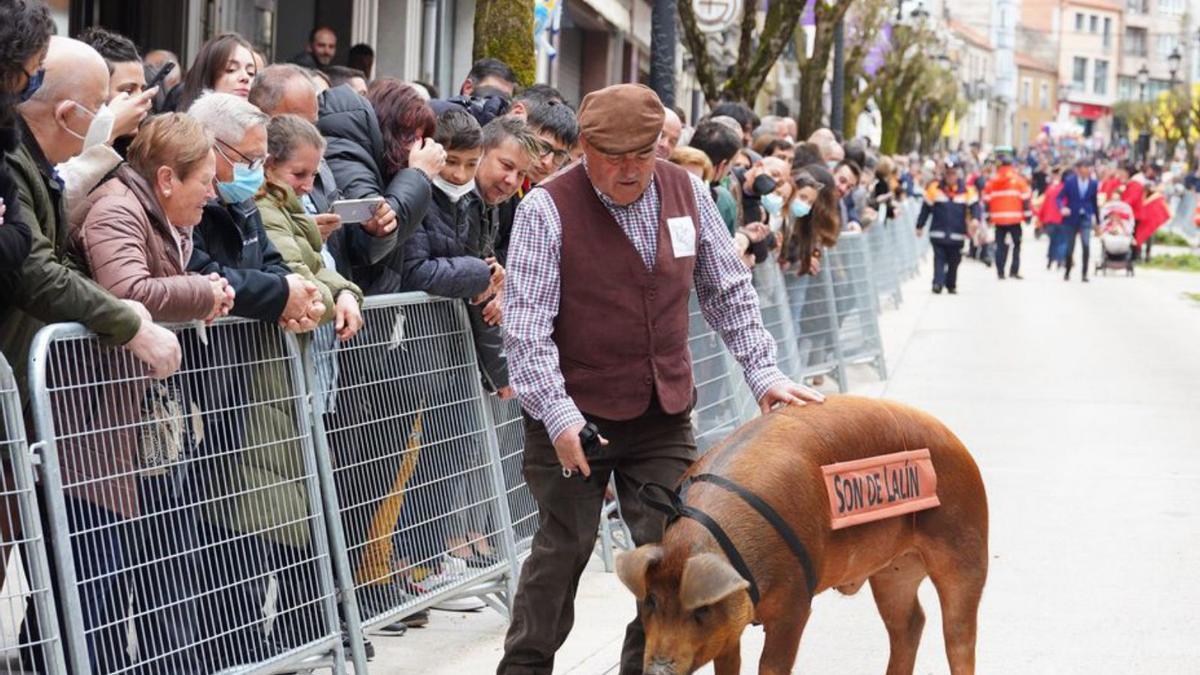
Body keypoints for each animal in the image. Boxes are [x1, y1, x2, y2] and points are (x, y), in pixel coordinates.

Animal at [614, 393, 988, 672]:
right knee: (909, 623)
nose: (658, 669)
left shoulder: (795, 600)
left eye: (700, 610)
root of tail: (953, 437)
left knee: (959, 632)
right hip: (892, 569)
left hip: (966, 540)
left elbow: (772, 663)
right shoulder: (731, 624)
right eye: (651, 600)